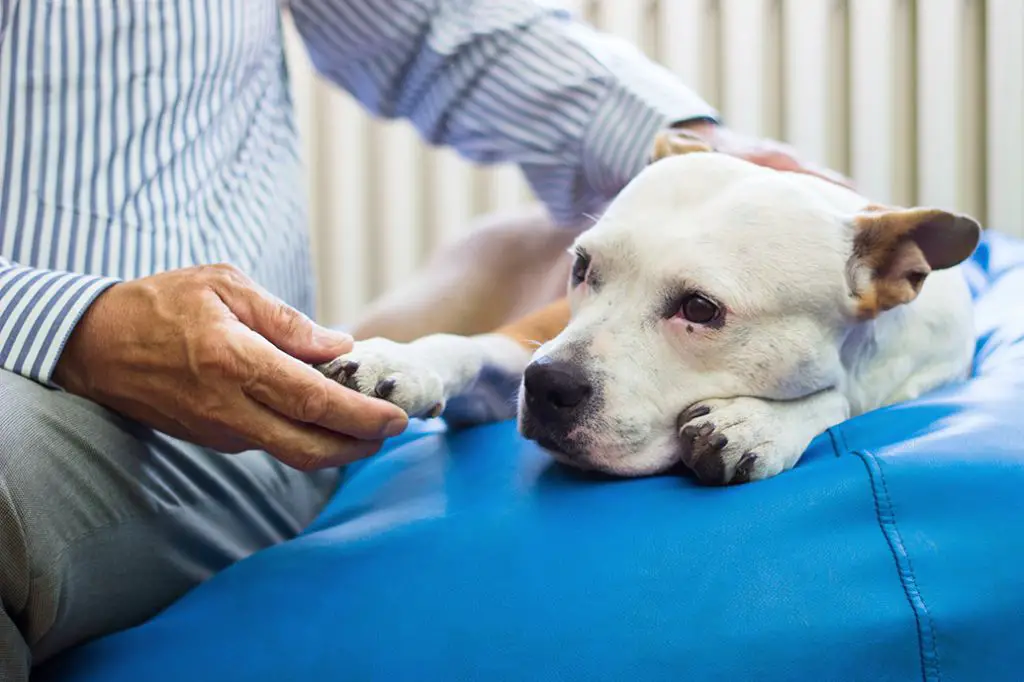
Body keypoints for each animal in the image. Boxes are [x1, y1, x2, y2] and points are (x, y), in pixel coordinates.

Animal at [315, 131, 978, 483]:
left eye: (701, 309)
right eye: (582, 267)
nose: (548, 383)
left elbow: (840, 398)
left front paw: (758, 422)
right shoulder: (523, 345)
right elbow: (465, 347)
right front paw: (398, 364)